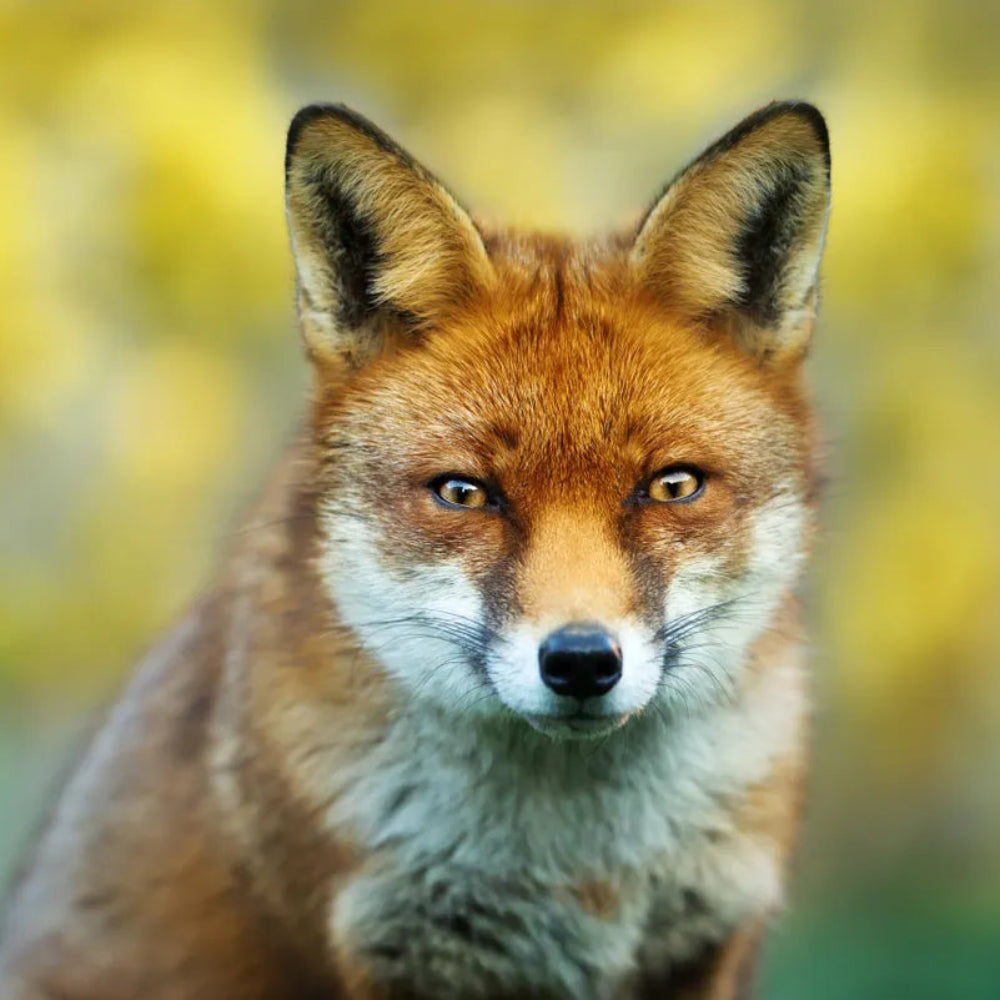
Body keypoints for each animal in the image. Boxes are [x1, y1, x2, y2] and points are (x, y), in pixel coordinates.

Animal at [0, 99, 830, 999]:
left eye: (672, 486)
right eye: (463, 493)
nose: (580, 661)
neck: (581, 877)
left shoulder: (705, 940)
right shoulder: (382, 948)